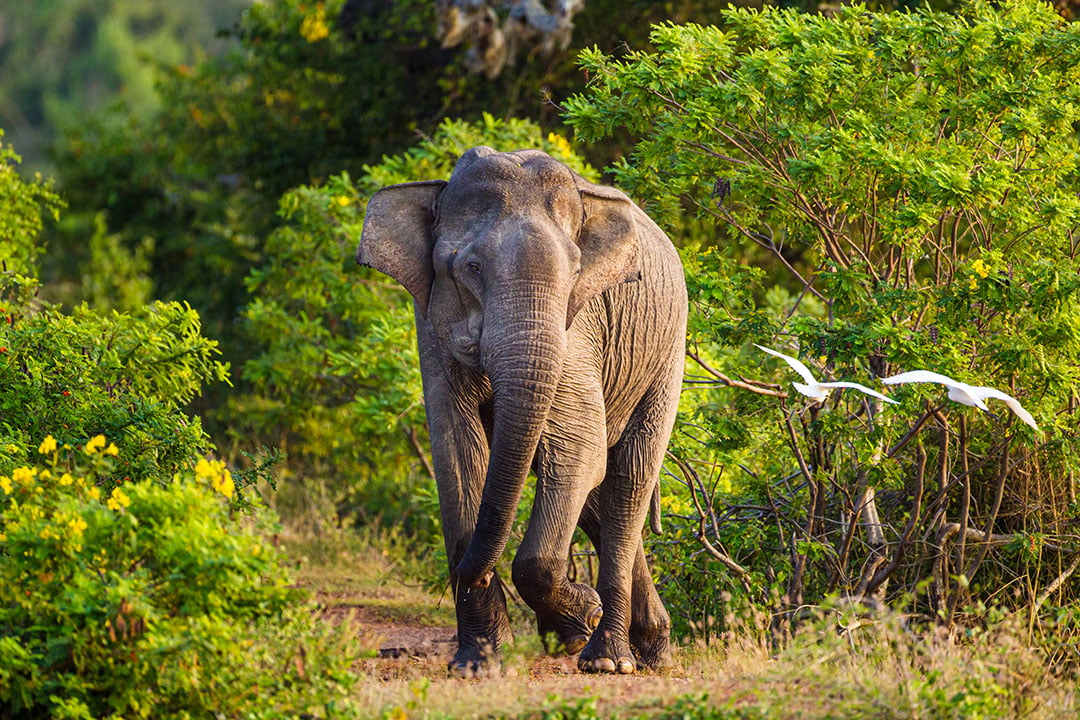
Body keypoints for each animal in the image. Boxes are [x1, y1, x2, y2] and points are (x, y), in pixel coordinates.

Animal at [358, 146, 686, 677]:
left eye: (575, 271)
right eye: (471, 268)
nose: (468, 576)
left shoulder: (578, 325)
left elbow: (580, 449)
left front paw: (581, 616)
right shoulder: (430, 321)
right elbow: (455, 451)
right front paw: (479, 664)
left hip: (667, 350)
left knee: (628, 477)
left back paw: (609, 660)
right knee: (599, 498)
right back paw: (645, 648)